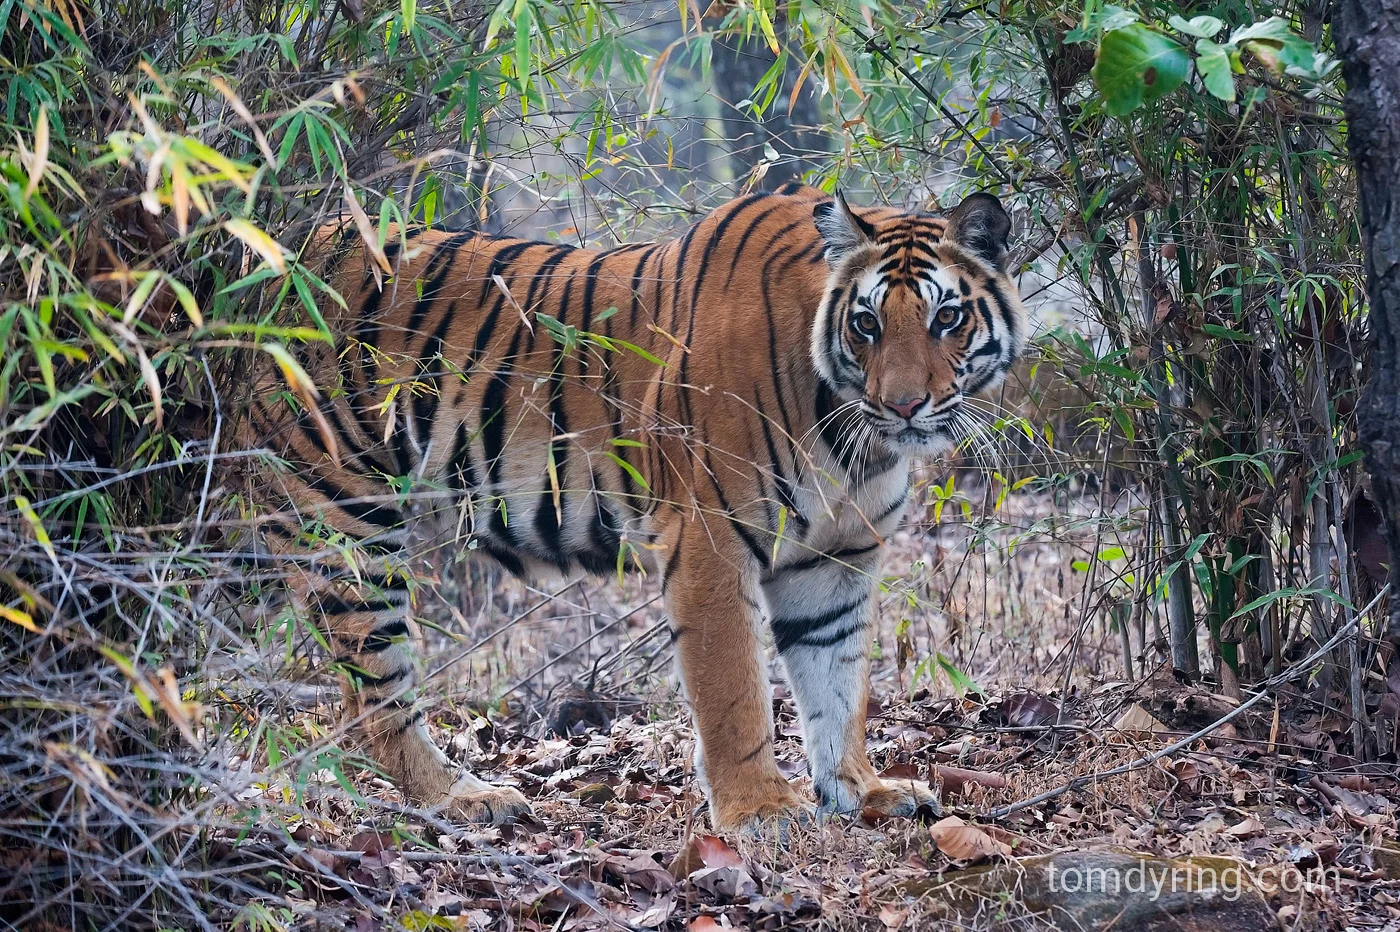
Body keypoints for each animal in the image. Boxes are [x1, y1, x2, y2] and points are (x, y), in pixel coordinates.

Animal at [242, 184, 1027, 833]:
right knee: (372, 699)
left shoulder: (835, 559)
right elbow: (735, 690)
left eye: (946, 318)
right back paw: (465, 799)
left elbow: (839, 684)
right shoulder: (710, 538)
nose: (904, 404)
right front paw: (760, 810)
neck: (852, 437)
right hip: (342, 520)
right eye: (866, 324)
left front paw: (861, 790)